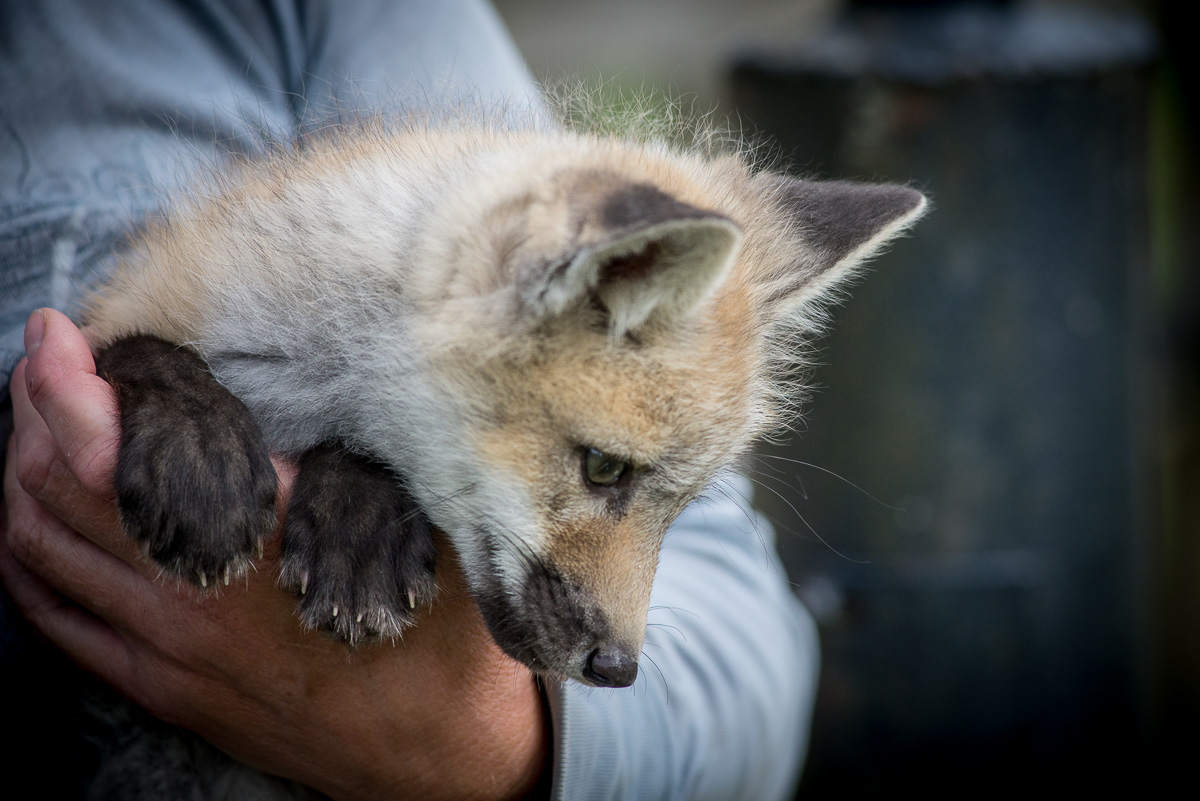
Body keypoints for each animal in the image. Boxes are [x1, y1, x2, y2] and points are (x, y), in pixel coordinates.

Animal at [82, 103, 926, 695]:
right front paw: (203, 459)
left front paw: (358, 527)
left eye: (681, 506)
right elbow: (146, 353)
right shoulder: (102, 318)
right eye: (603, 468)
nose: (618, 669)